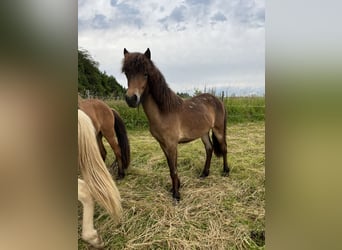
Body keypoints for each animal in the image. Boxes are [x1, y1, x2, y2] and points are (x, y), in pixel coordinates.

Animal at [121, 48, 228, 201]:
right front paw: (175, 187)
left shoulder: (172, 144)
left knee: (224, 148)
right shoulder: (163, 144)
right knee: (209, 148)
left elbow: (174, 169)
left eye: (146, 74)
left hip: (218, 130)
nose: (131, 99)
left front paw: (176, 195)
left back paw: (225, 171)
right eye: (127, 73)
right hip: (204, 132)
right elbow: (171, 167)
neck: (164, 112)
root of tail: (218, 100)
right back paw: (204, 173)